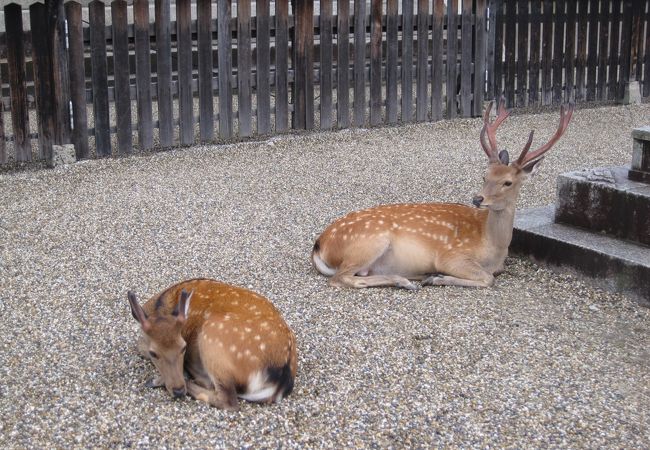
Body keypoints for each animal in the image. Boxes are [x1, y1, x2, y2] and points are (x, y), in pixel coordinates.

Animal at [126, 278, 296, 408]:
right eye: (154, 353)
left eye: (184, 347)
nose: (178, 390)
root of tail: (281, 379)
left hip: (213, 336)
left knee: (226, 398)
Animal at [312, 98, 572, 288]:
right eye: (484, 175)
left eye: (507, 182)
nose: (478, 198)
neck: (493, 248)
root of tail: (320, 245)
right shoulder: (450, 255)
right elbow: (487, 279)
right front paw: (436, 277)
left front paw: (433, 277)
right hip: (370, 241)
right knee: (341, 278)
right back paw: (407, 280)